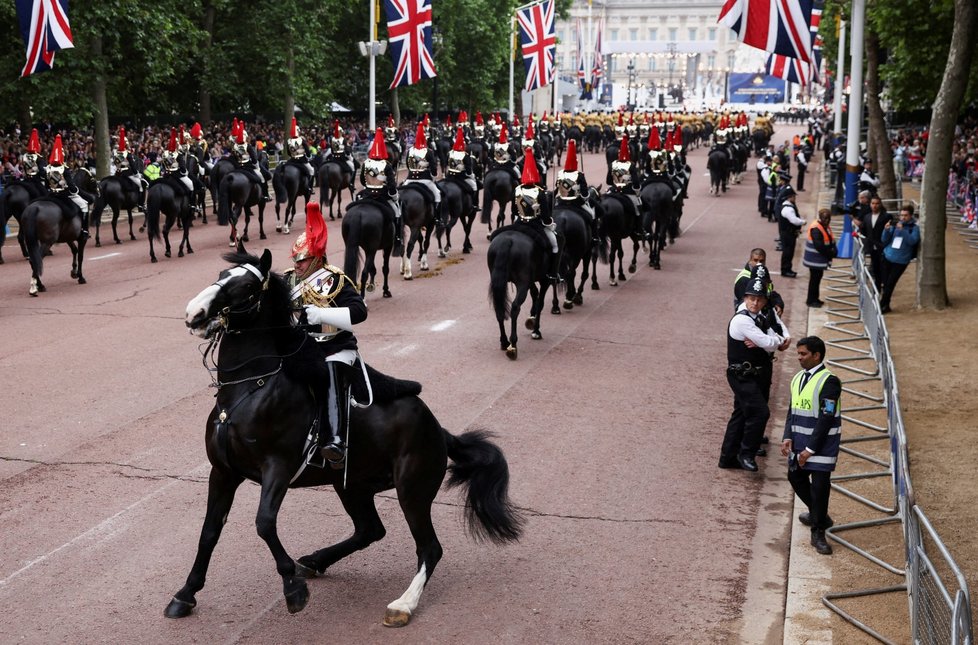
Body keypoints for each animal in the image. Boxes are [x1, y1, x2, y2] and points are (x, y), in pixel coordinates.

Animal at [173, 245, 528, 624]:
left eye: (246, 288)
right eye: (221, 276)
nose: (194, 313)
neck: (250, 388)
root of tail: (439, 429)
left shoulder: (278, 468)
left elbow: (264, 524)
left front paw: (293, 588)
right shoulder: (223, 472)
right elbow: (209, 531)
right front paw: (186, 593)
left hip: (412, 490)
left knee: (429, 548)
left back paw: (403, 604)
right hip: (351, 485)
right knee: (371, 529)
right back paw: (316, 561)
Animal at [486, 224, 548, 360]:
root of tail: (508, 240)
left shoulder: (531, 280)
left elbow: (535, 293)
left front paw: (532, 318)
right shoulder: (545, 279)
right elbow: (540, 302)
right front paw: (536, 331)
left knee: (499, 308)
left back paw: (504, 342)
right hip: (523, 282)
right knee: (515, 307)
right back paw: (513, 345)